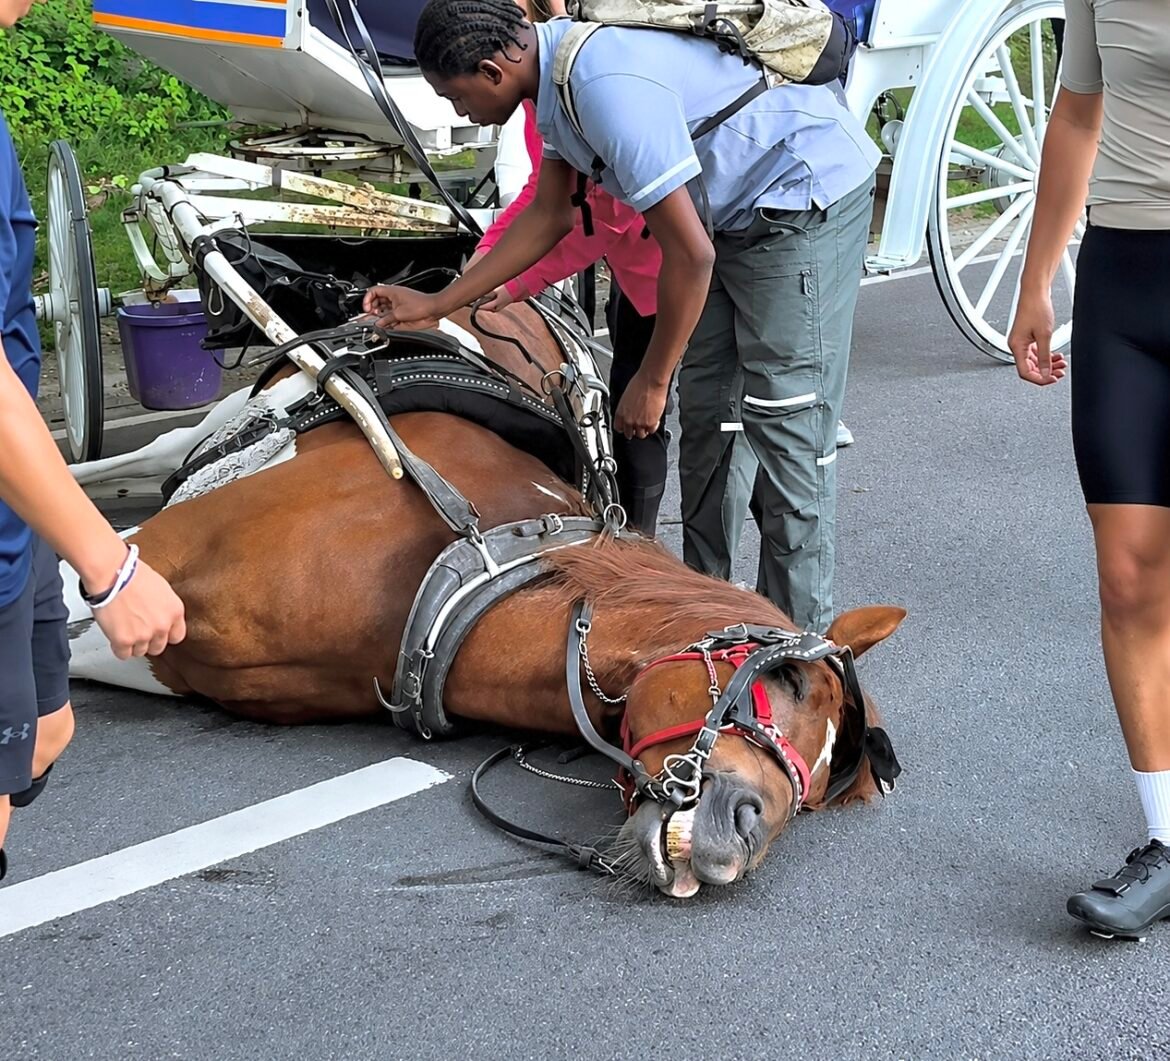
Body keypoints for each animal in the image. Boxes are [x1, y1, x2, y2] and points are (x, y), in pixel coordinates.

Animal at [67, 297, 906, 898]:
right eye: (787, 678)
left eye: (817, 790)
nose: (746, 834)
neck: (451, 576)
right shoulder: (143, 569)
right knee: (153, 452)